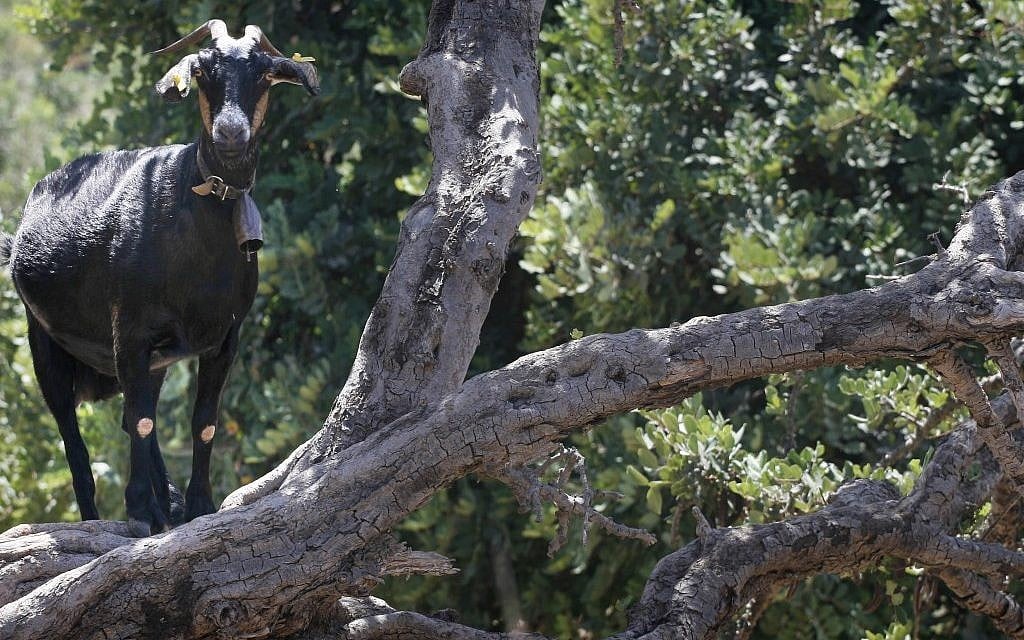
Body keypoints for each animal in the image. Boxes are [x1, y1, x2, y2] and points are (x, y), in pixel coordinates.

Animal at [0, 20, 319, 536]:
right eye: (202, 70)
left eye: (265, 73)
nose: (231, 132)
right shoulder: (129, 330)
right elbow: (143, 422)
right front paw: (138, 510)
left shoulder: (223, 337)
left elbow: (202, 421)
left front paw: (196, 504)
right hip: (44, 343)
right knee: (76, 444)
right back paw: (108, 514)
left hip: (155, 359)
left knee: (130, 415)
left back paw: (166, 499)